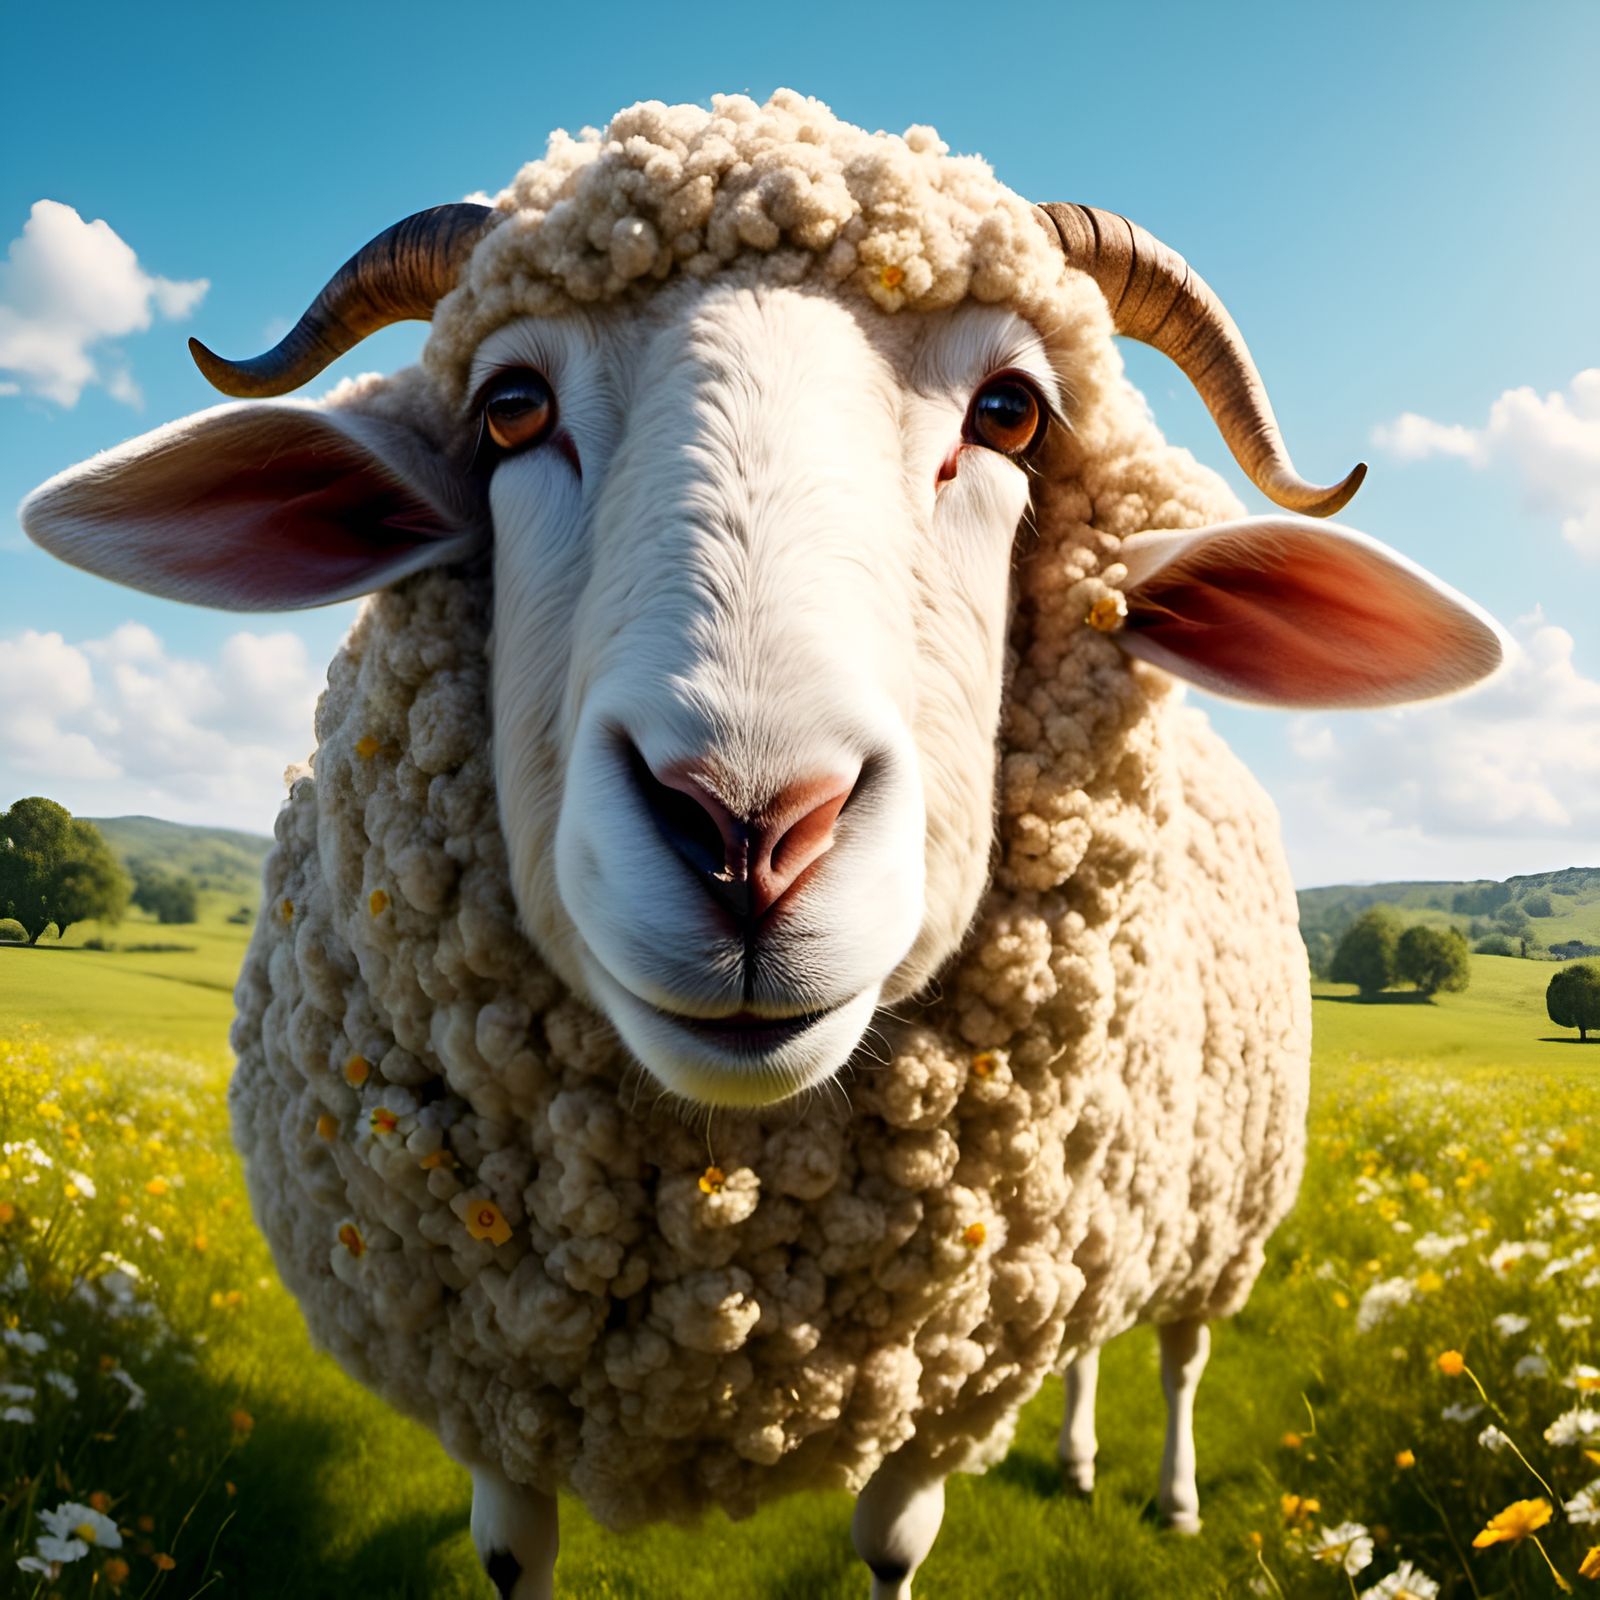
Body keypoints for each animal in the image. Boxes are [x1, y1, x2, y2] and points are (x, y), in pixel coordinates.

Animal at [21, 91, 1505, 1600]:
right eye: (509, 407)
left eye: (1013, 412)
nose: (748, 830)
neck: (722, 1297)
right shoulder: (498, 1387)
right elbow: (509, 1553)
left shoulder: (931, 1394)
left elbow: (894, 1548)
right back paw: (1084, 1452)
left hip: (1225, 1206)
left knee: (1183, 1351)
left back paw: (1172, 1493)